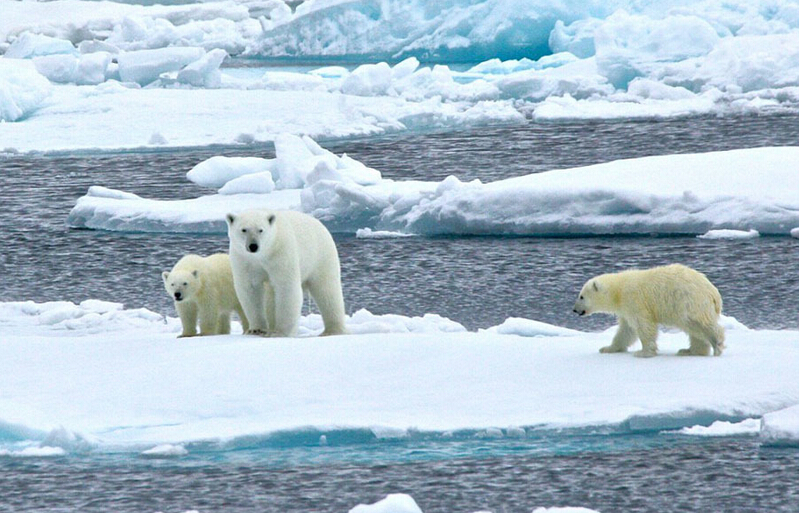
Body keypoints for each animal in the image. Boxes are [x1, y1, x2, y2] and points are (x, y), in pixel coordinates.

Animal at [227, 208, 348, 336]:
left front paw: (280, 332)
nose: (253, 246)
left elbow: (286, 287)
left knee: (327, 290)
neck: (263, 254)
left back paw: (333, 331)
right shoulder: (245, 260)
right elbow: (250, 289)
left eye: (261, 230)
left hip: (320, 257)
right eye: (244, 229)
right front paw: (256, 329)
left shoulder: (281, 253)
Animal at [576, 264, 724, 356]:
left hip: (688, 302)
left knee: (698, 324)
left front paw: (643, 352)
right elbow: (626, 330)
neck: (618, 290)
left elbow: (644, 325)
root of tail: (714, 293)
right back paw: (689, 351)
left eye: (581, 296)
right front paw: (607, 348)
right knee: (694, 330)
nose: (574, 310)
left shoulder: (634, 300)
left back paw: (717, 344)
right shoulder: (625, 309)